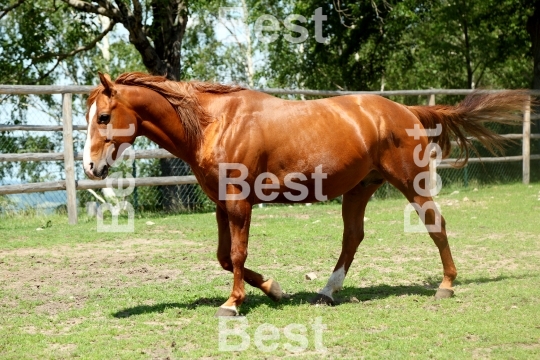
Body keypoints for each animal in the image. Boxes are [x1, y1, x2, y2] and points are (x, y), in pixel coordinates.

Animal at [84, 72, 528, 316]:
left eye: (104, 116)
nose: (91, 168)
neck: (214, 122)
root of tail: (407, 111)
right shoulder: (220, 204)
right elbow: (225, 257)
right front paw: (273, 288)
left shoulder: (238, 201)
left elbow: (237, 255)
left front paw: (233, 304)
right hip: (359, 190)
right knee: (353, 238)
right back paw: (327, 292)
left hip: (411, 185)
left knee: (436, 225)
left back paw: (446, 285)